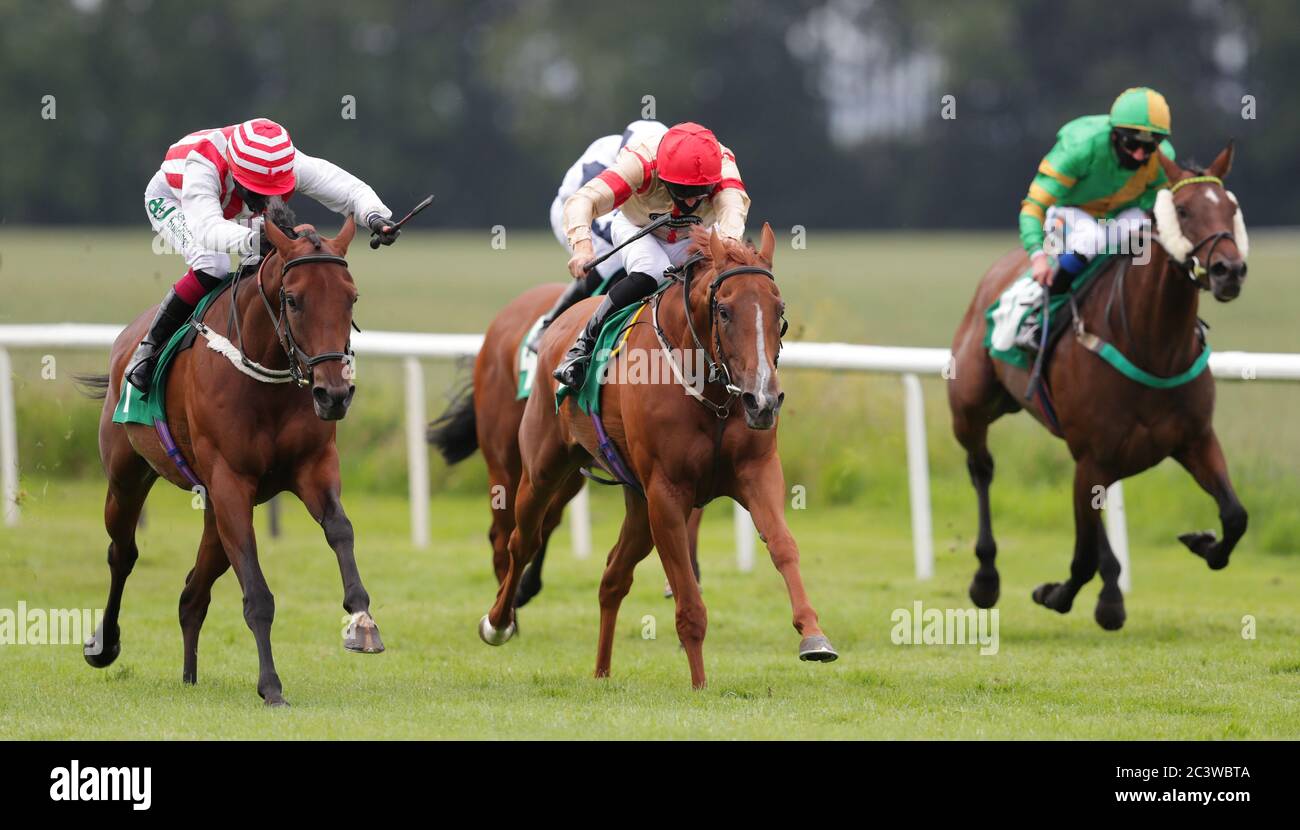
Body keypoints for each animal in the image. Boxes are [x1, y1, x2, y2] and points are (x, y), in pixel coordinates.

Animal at [80, 214, 379, 707]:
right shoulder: (230, 481)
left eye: (351, 296)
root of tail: (125, 339)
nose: (334, 394)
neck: (267, 374)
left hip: (213, 509)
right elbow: (257, 593)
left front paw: (362, 621)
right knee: (122, 553)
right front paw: (271, 686)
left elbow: (341, 529)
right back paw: (104, 645)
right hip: (127, 478)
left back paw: (189, 674)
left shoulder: (312, 467)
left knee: (192, 592)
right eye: (293, 299)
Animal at [483, 223, 837, 686]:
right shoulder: (668, 494)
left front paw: (813, 635)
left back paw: (601, 672)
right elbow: (689, 602)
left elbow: (782, 544)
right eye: (724, 311)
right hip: (540, 468)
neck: (710, 393)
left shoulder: (757, 472)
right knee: (521, 540)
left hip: (637, 501)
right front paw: (700, 685)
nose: (763, 399)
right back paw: (499, 621)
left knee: (613, 576)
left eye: (778, 310)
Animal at [951, 144, 1253, 629]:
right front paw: (1055, 594)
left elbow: (1235, 515)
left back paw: (1111, 590)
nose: (1230, 270)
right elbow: (1082, 559)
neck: (1153, 345)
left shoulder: (1195, 439)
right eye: (1183, 210)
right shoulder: (1093, 455)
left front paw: (1203, 542)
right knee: (981, 469)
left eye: (1231, 208)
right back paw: (986, 577)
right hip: (970, 408)